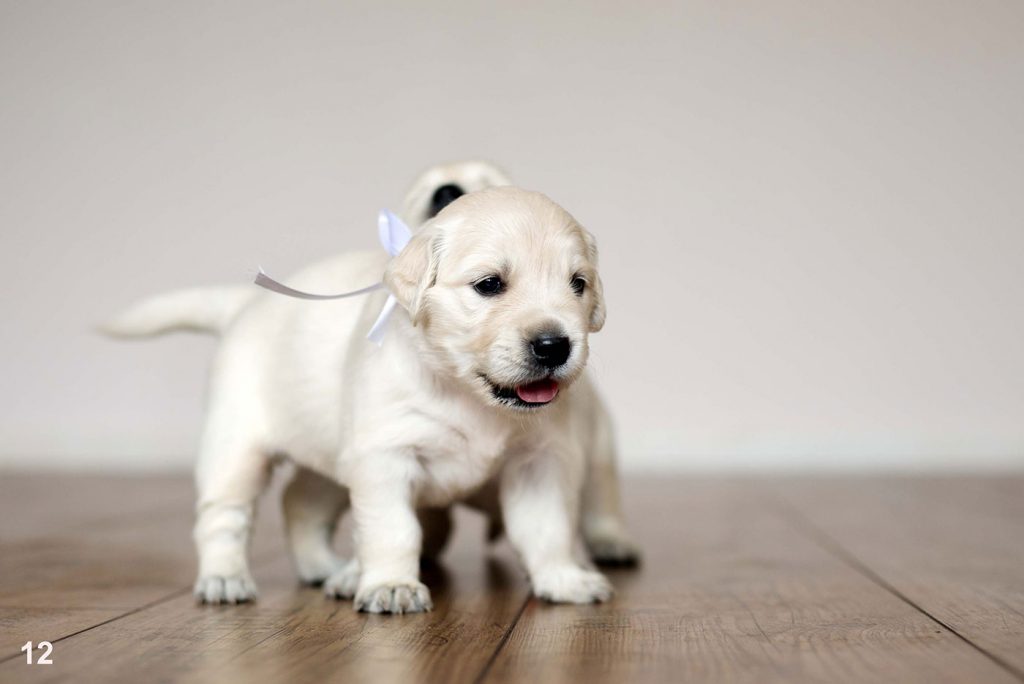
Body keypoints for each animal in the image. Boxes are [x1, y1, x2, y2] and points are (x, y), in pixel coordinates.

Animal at [103, 161, 634, 614]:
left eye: (578, 284)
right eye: (488, 284)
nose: (554, 345)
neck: (465, 392)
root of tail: (243, 304)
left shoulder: (539, 461)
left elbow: (548, 528)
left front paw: (562, 578)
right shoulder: (385, 457)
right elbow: (392, 529)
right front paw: (391, 585)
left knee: (299, 500)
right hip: (236, 447)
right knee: (224, 515)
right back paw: (225, 578)